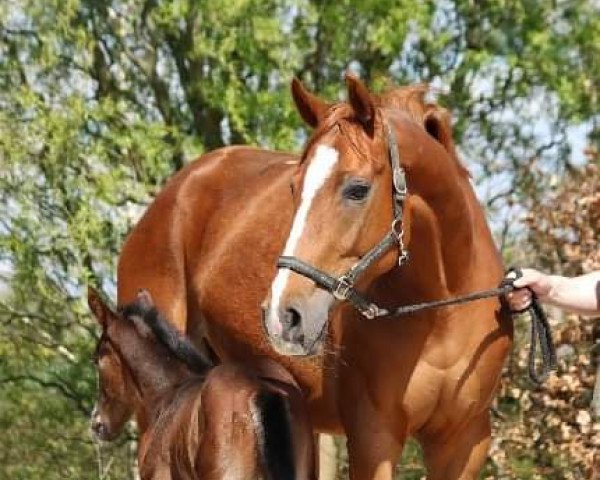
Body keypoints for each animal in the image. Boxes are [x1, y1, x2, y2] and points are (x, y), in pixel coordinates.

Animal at [117, 77, 510, 478]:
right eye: (294, 187)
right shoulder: (374, 437)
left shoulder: (464, 443)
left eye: (357, 189)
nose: (282, 315)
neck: (442, 316)